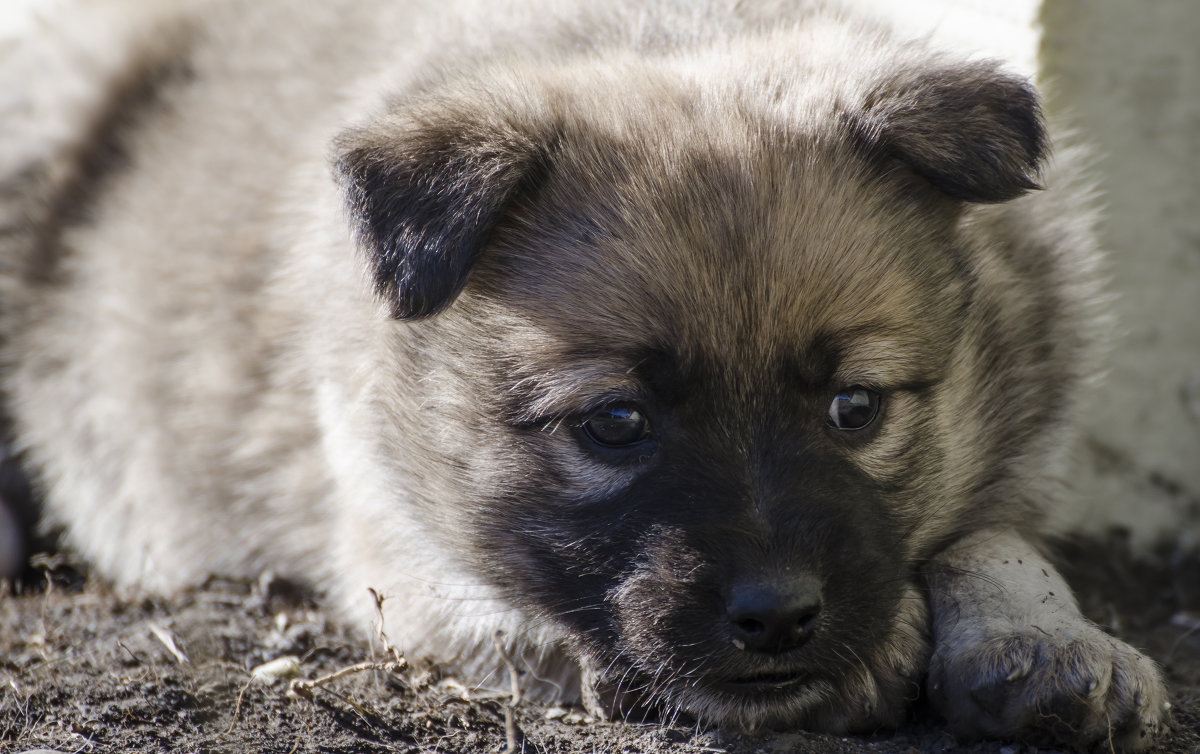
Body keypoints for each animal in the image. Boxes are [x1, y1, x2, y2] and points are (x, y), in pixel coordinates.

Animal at [0, 0, 1171, 749]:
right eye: (614, 423)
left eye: (856, 407)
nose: (778, 617)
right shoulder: (396, 541)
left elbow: (995, 539)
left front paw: (1051, 639)